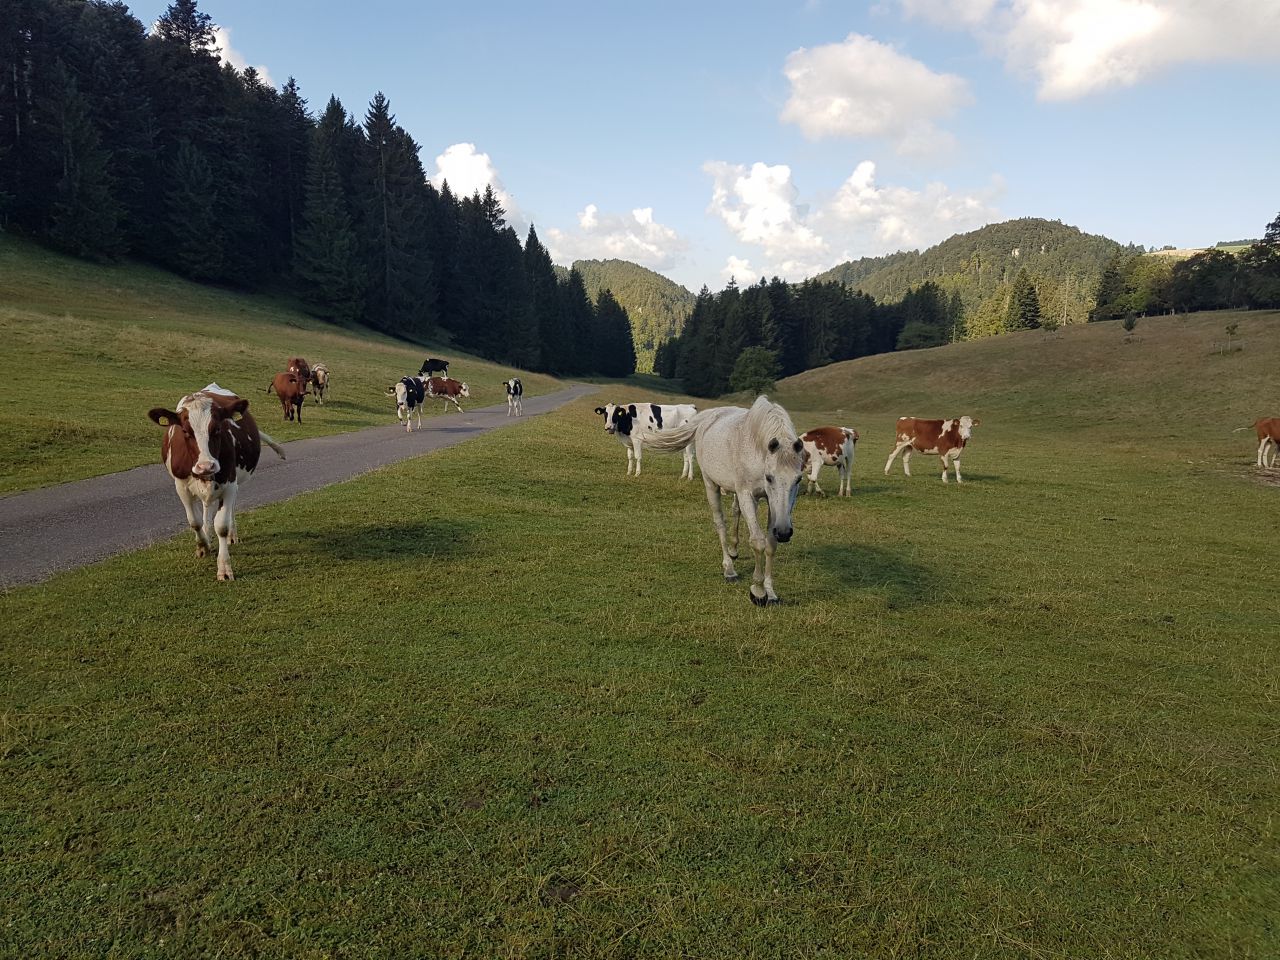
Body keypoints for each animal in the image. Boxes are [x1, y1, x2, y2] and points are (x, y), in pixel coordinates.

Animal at [641, 395, 806, 606]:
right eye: (769, 477)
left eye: (798, 479)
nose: (784, 533)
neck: (756, 449)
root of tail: (708, 417)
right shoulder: (747, 494)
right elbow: (758, 541)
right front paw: (758, 591)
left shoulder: (773, 505)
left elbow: (770, 543)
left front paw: (770, 591)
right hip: (711, 485)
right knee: (720, 523)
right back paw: (729, 569)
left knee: (736, 512)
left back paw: (734, 550)